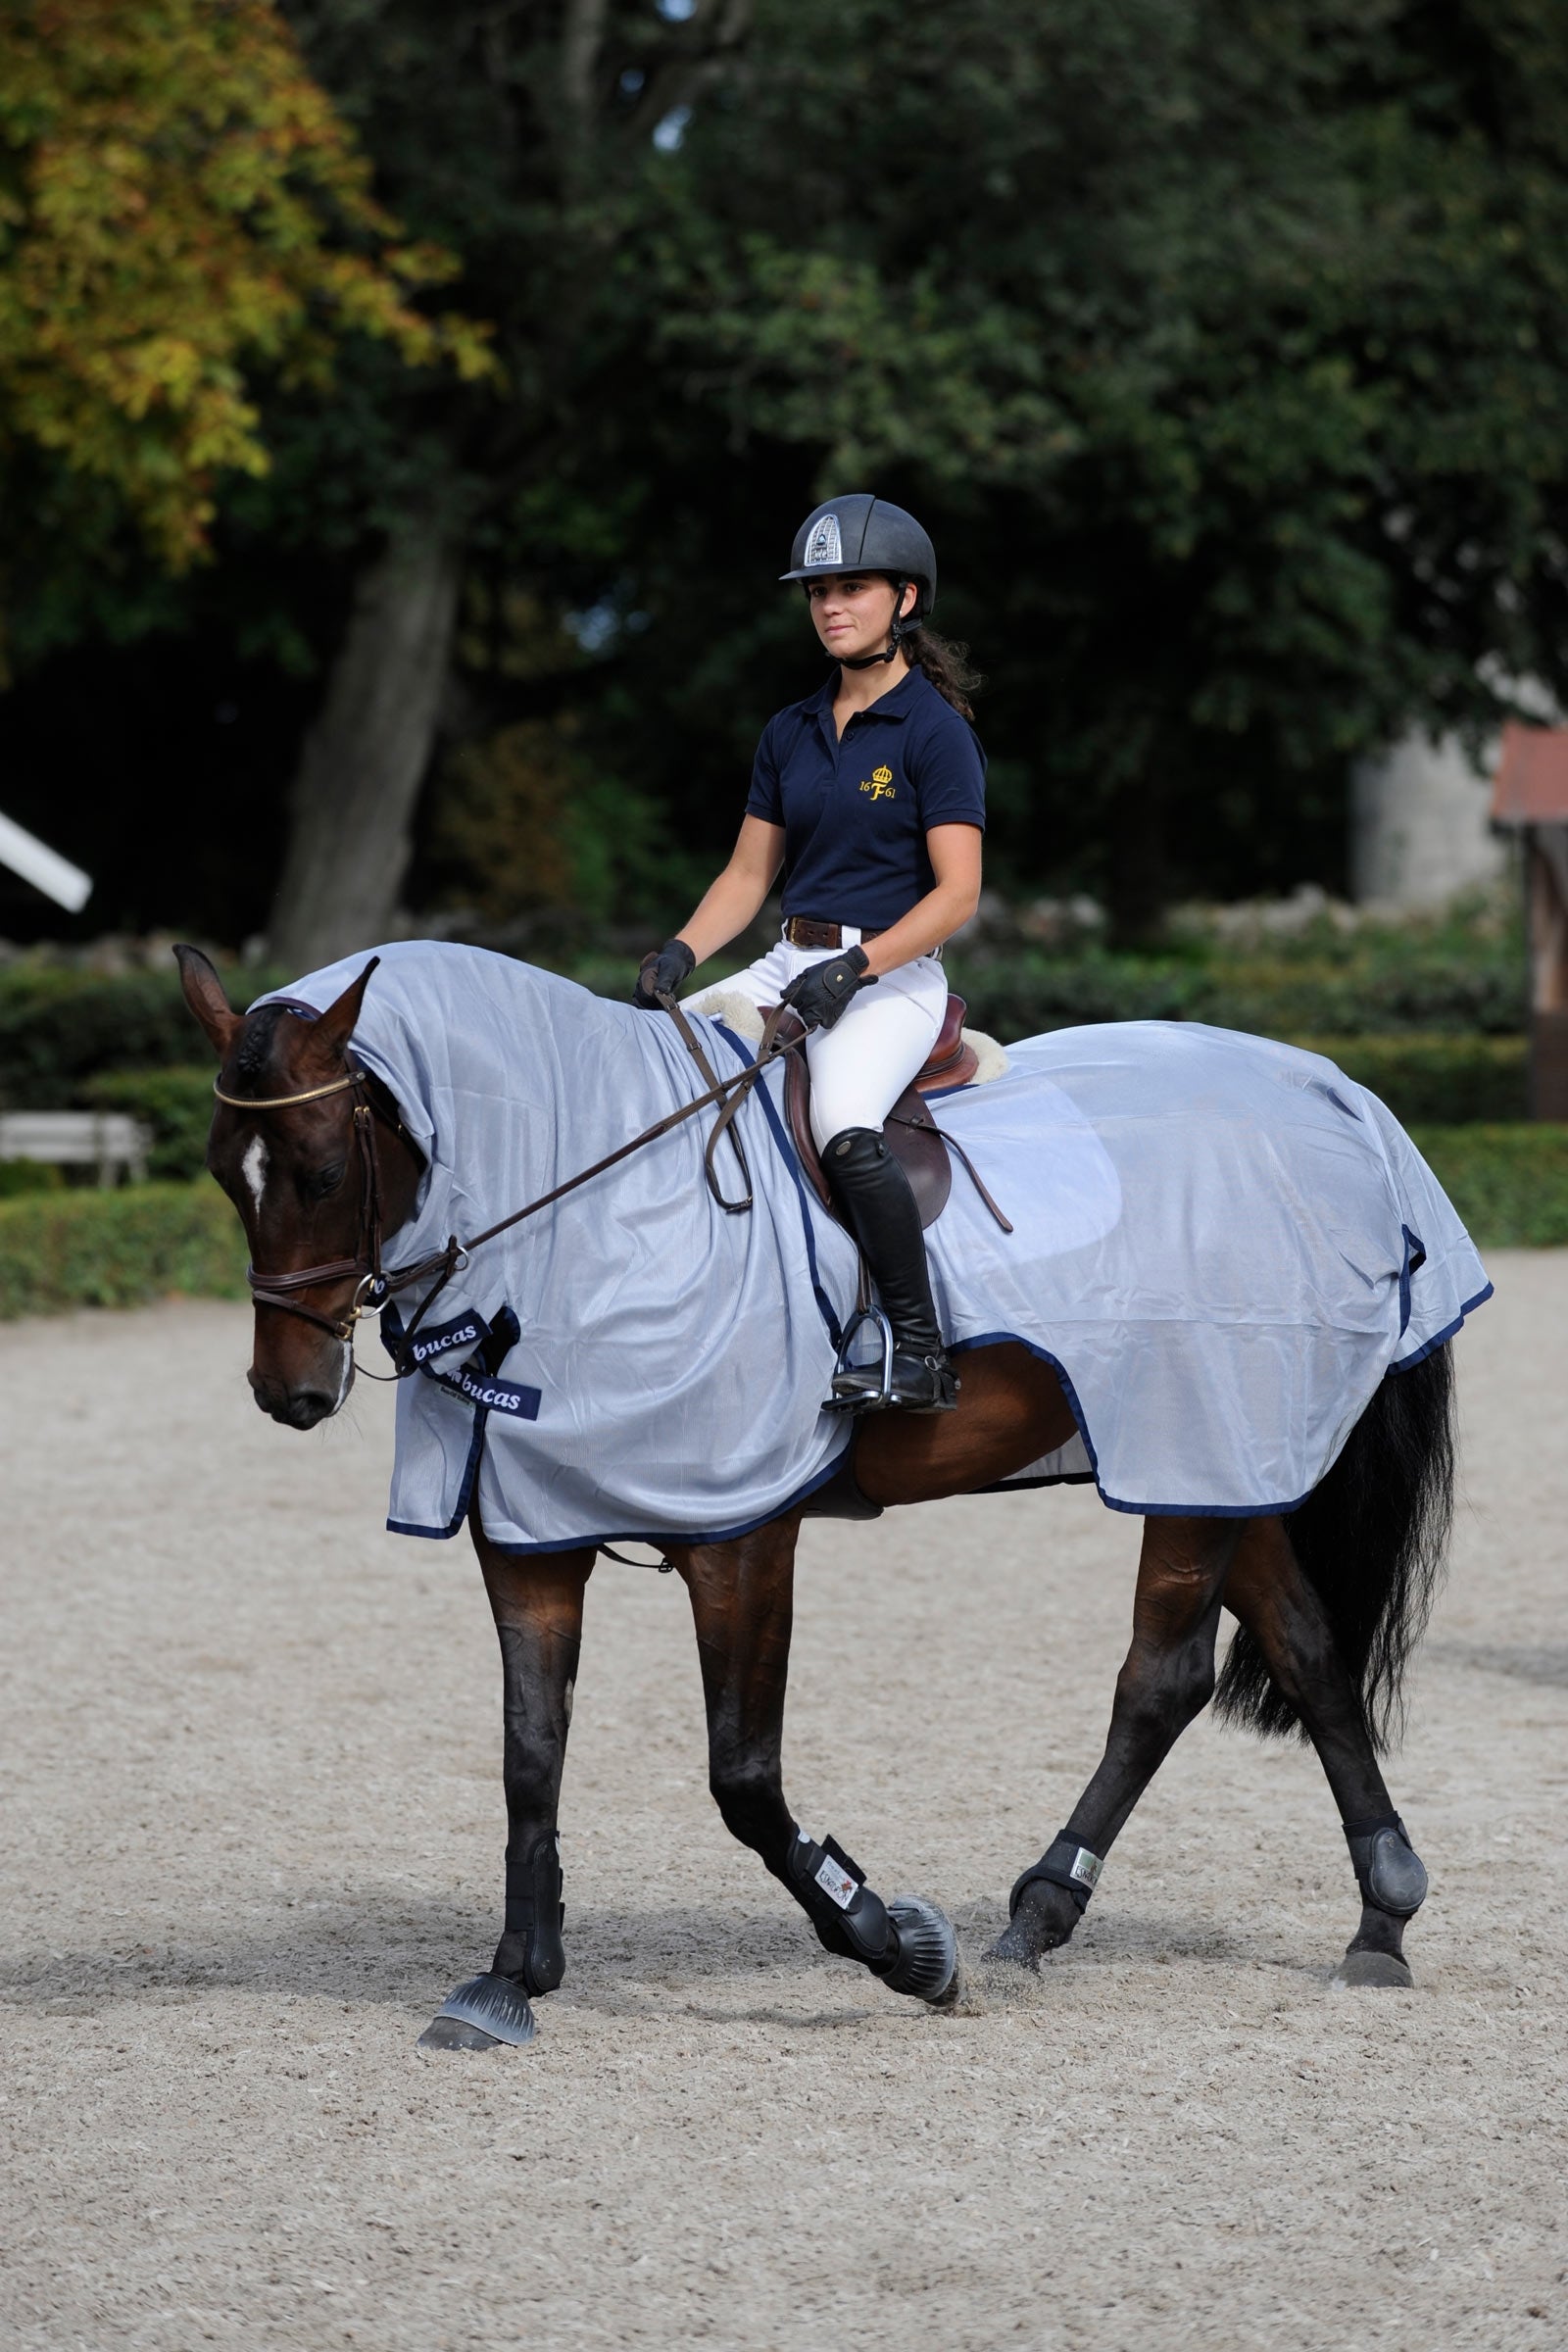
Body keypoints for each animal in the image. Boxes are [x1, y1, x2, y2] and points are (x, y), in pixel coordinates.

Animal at [175, 941, 1464, 2050]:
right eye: (221, 1177)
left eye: (323, 1172)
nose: (288, 1392)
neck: (597, 1212)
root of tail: (1329, 1091)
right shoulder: (531, 1528)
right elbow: (529, 1753)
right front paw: (508, 1980)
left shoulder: (740, 1541)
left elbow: (743, 1782)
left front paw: (898, 1946)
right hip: (1222, 1459)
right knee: (1303, 1649)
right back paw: (1375, 1918)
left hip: (1192, 1445)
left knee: (1163, 1677)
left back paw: (1037, 1917)